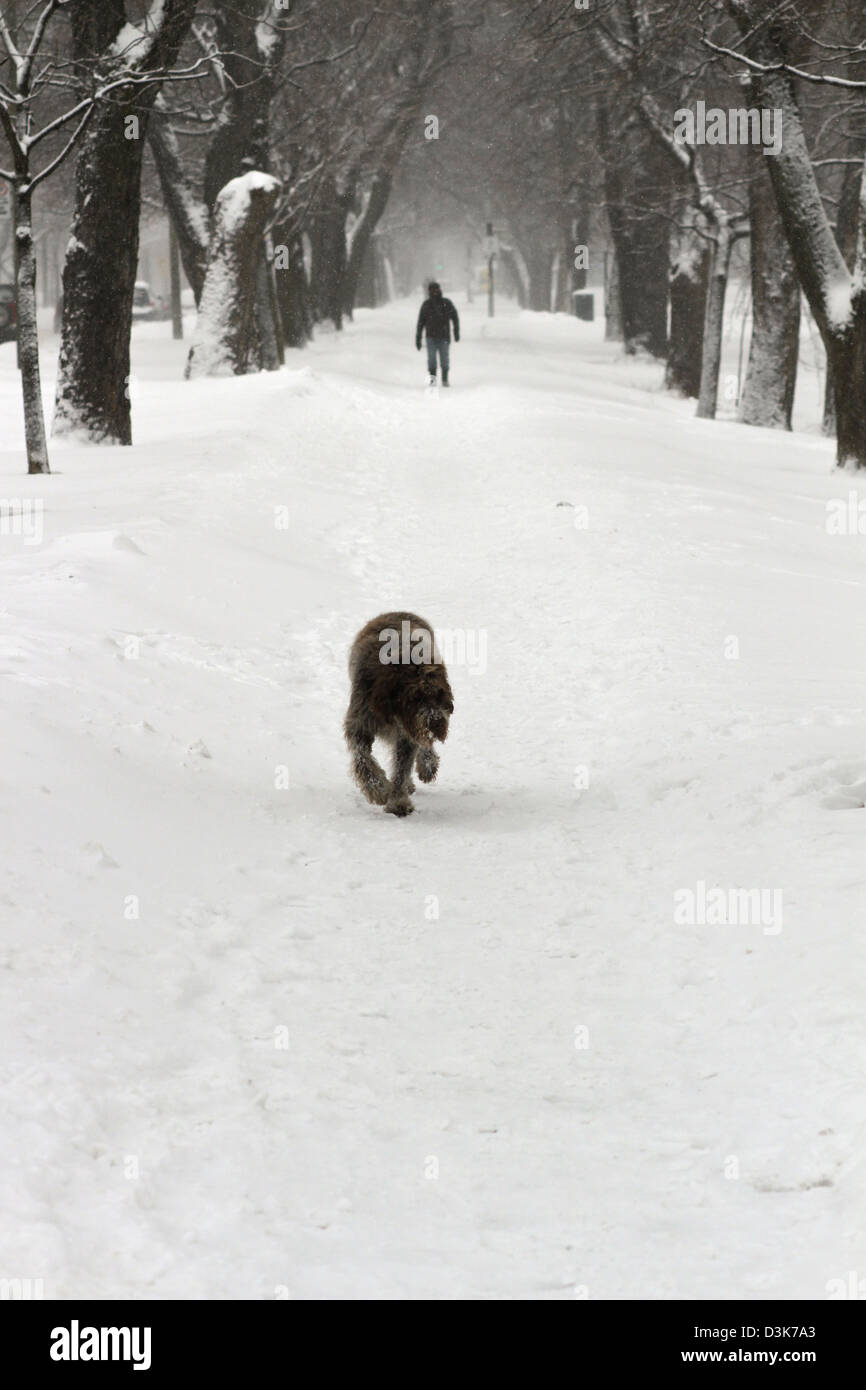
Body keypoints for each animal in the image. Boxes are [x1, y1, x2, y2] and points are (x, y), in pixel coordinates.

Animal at [343, 608, 453, 811]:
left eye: (439, 694)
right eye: (415, 697)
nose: (436, 722)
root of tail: (397, 611)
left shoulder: (406, 735)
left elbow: (402, 768)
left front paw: (398, 801)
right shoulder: (359, 725)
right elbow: (363, 759)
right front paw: (377, 790)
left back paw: (427, 765)